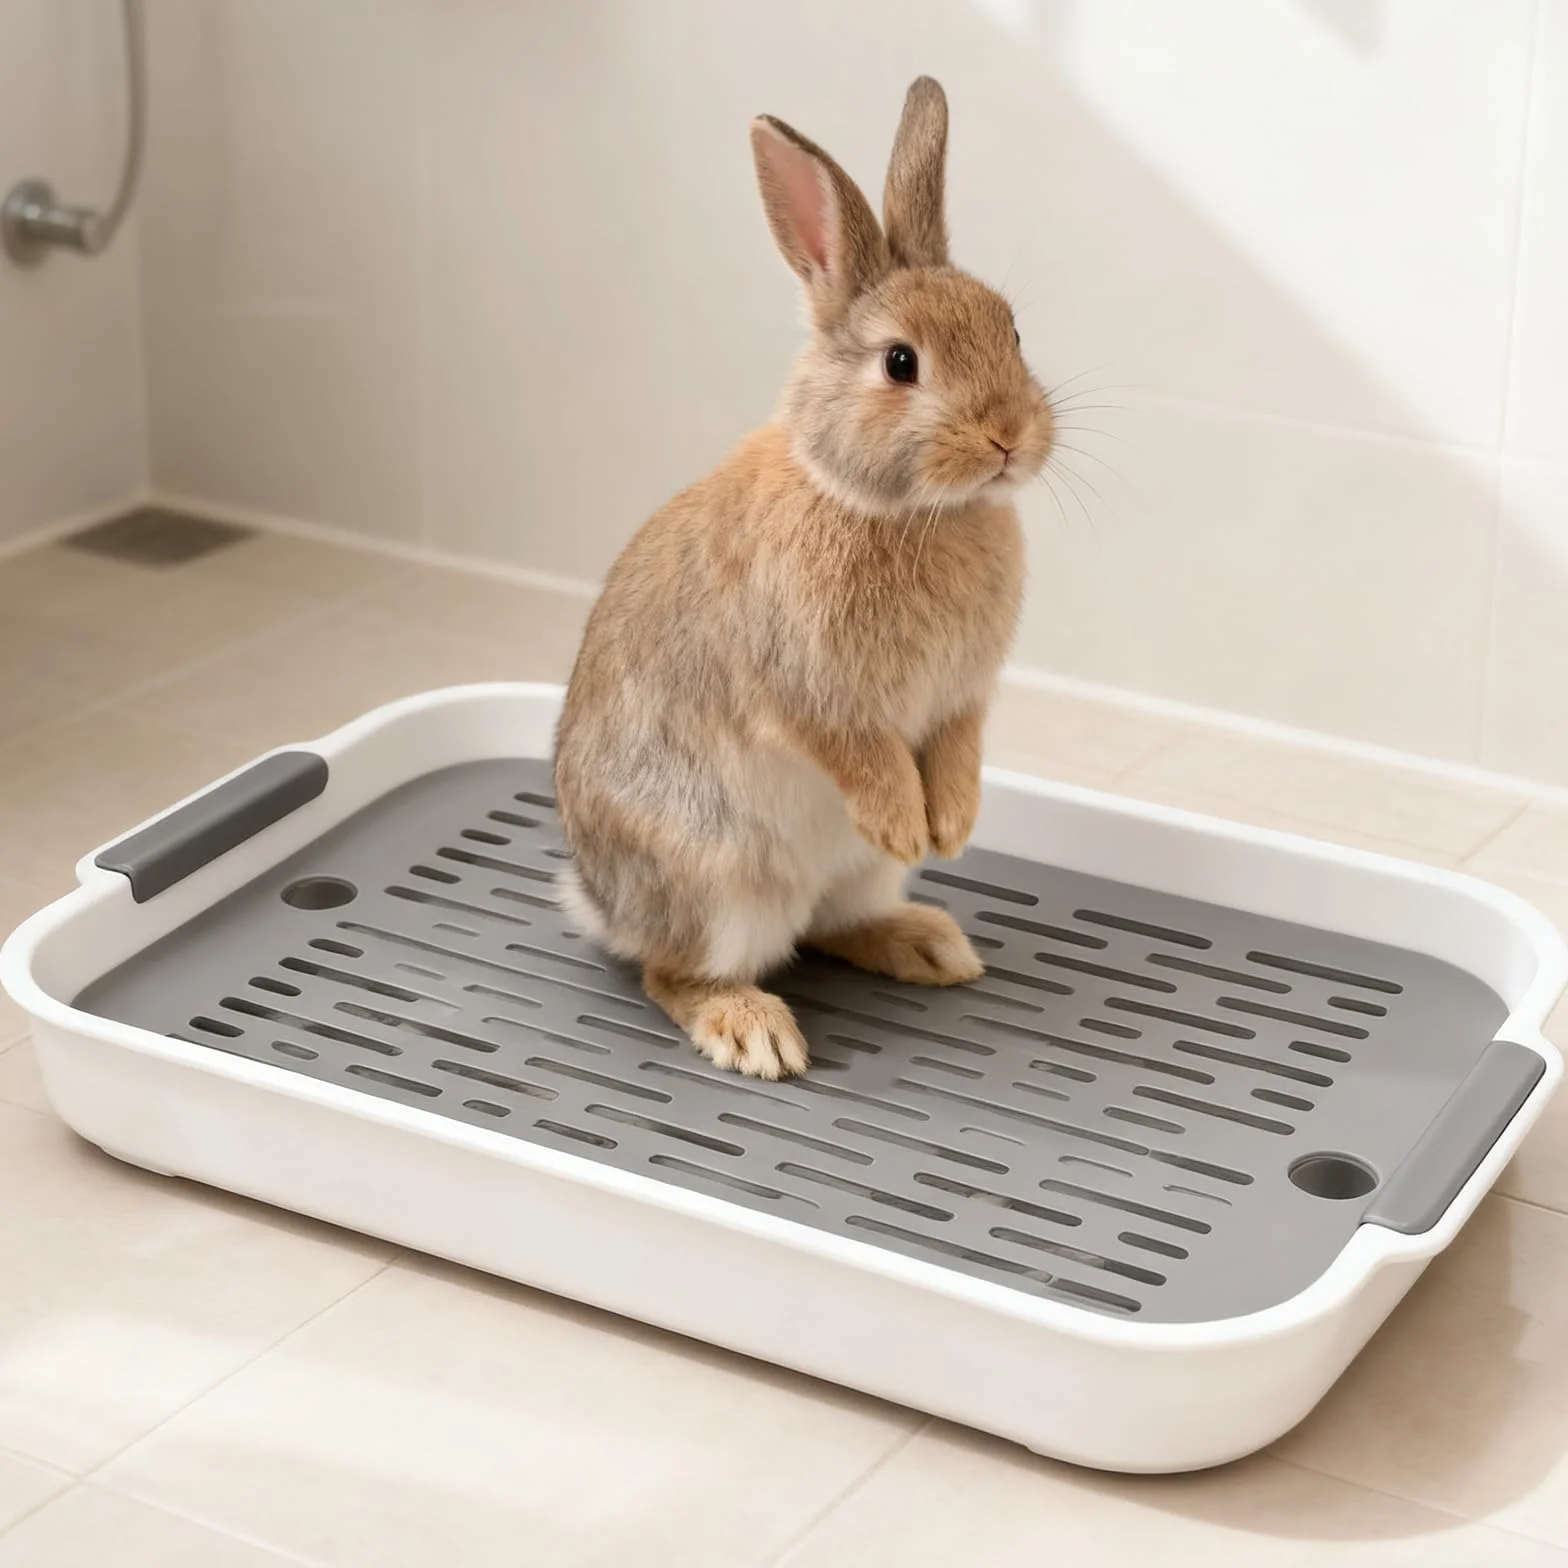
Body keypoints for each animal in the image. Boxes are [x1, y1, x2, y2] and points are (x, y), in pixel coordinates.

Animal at [554, 75, 1054, 1080]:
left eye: (1012, 328)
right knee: (676, 973)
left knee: (830, 927)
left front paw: (950, 827)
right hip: (714, 881)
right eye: (901, 363)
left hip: (847, 878)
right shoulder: (812, 694)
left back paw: (930, 944)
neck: (902, 511)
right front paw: (906, 820)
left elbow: (957, 751)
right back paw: (754, 1030)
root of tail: (601, 900)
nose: (1009, 437)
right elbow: (860, 753)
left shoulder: (962, 702)